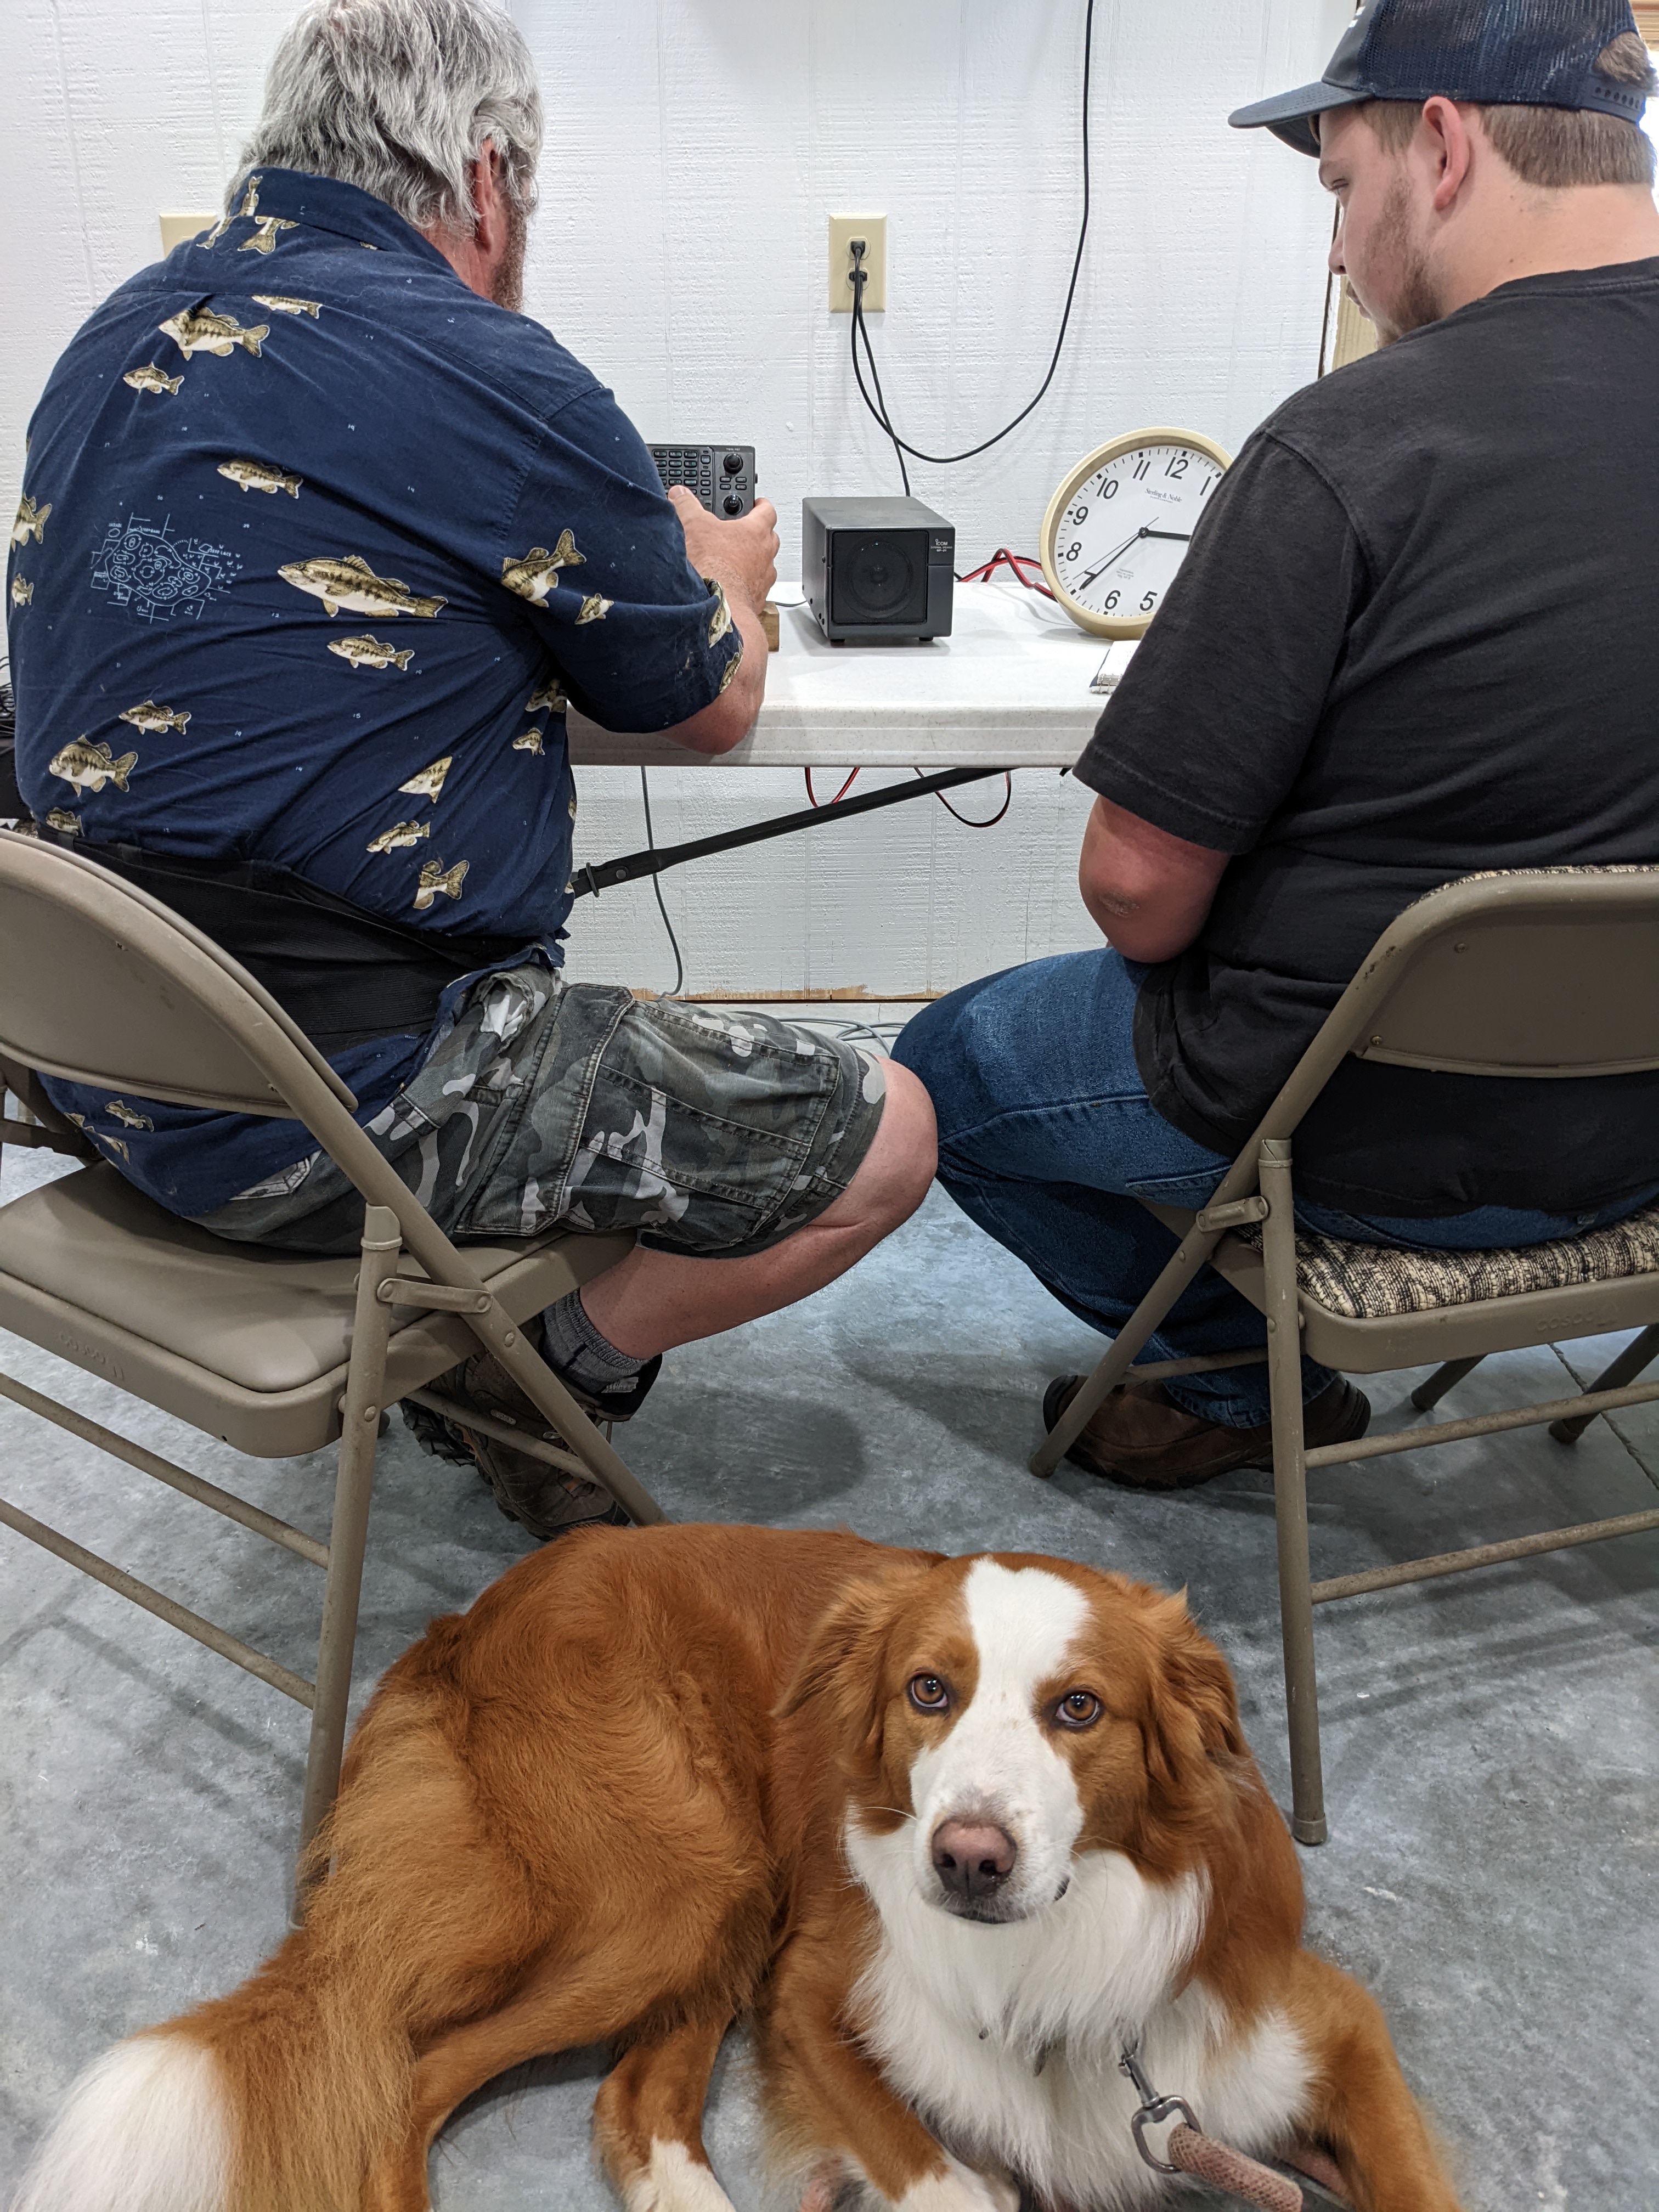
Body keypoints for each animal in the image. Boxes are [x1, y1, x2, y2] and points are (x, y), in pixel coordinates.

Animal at [16, 1522, 1469, 2212]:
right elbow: (928, 2155)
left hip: (727, 1890)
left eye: (1080, 1710)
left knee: (633, 2097)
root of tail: (471, 1611)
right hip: (683, 1884)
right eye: (930, 1692)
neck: (1051, 1961)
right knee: (416, 2082)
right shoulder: (824, 1984)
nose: (968, 1861)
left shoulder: (1324, 2026)